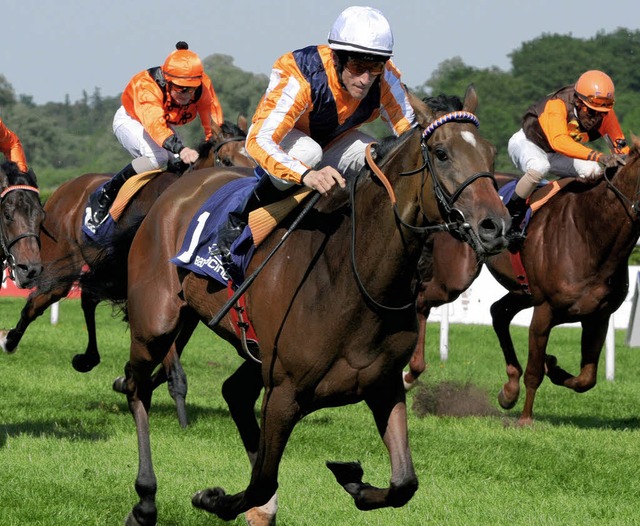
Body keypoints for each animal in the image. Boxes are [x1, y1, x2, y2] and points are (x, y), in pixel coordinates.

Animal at [119, 84, 510, 524]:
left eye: (491, 153)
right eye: (441, 153)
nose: (496, 225)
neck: (352, 278)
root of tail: (176, 191)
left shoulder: (384, 385)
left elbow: (404, 483)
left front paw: (352, 478)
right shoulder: (284, 393)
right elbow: (262, 481)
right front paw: (212, 499)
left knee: (233, 391)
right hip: (156, 322)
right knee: (136, 386)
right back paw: (145, 500)